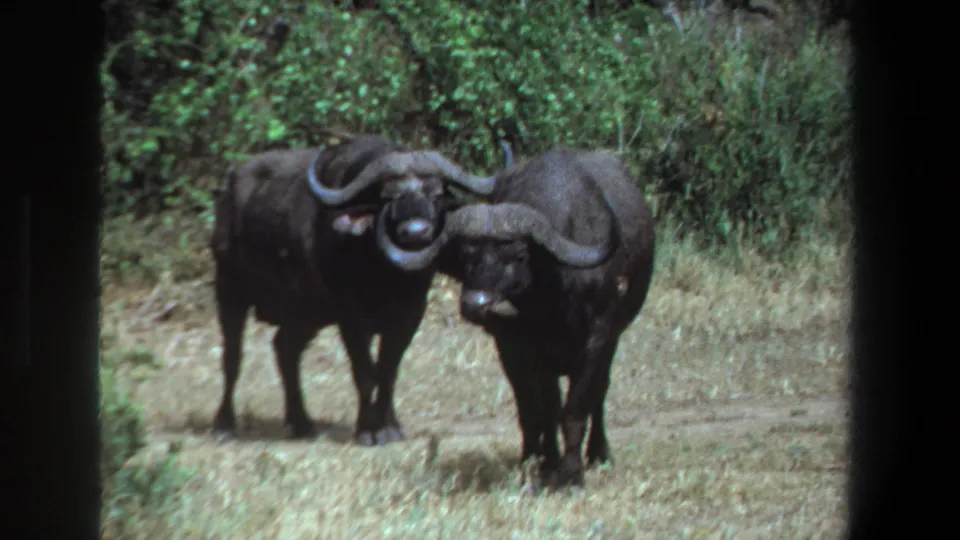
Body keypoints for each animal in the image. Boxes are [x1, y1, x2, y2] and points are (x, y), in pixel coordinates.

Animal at [378, 147, 656, 487]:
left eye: (519, 255)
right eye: (468, 255)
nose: (476, 304)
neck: (555, 297)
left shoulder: (598, 338)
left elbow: (578, 407)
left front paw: (572, 474)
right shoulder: (531, 349)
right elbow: (546, 408)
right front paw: (549, 467)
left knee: (599, 393)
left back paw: (598, 453)